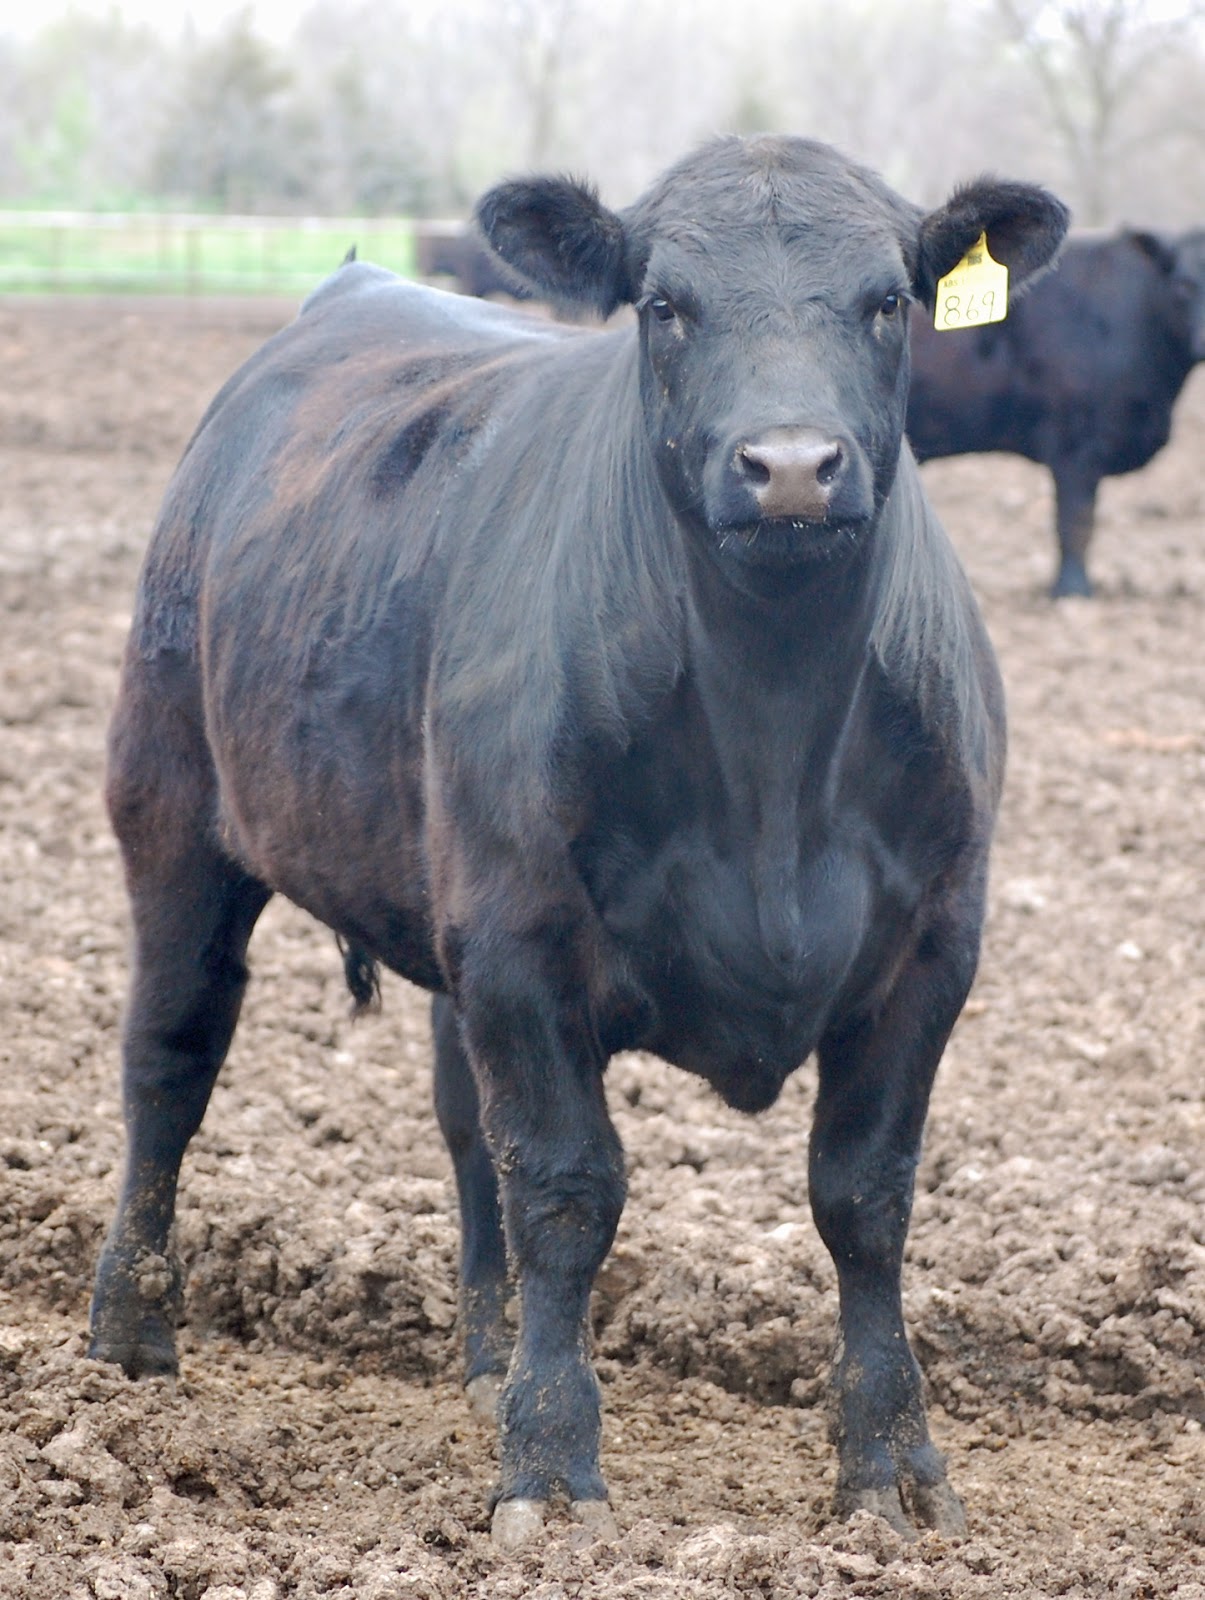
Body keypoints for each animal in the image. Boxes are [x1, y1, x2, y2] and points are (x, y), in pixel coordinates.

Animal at [88, 135, 1067, 1548]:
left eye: (889, 300)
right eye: (662, 304)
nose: (788, 465)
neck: (772, 738)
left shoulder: (931, 945)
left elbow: (864, 1197)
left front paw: (889, 1464)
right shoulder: (522, 937)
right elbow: (565, 1189)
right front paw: (548, 1464)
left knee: (459, 1128)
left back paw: (486, 1356)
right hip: (171, 806)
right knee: (170, 1058)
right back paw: (130, 1334)